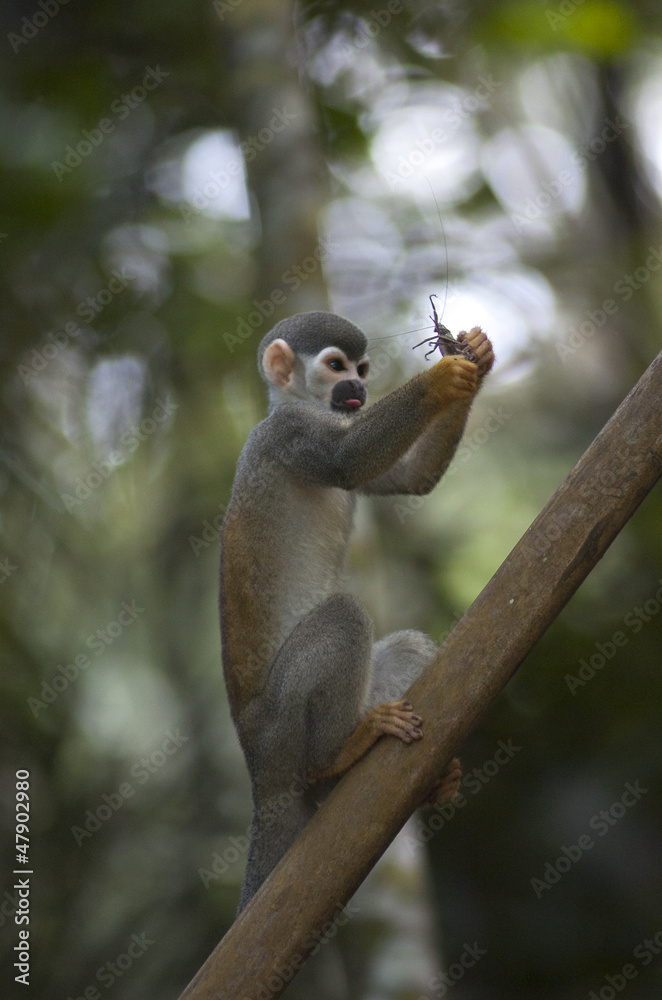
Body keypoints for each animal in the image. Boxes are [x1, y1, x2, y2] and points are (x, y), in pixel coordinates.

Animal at [220, 310, 496, 908]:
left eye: (362, 369)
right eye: (335, 366)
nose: (358, 389)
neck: (300, 403)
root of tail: (256, 775)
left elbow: (409, 477)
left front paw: (475, 357)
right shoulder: (287, 433)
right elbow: (346, 461)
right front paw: (442, 378)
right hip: (279, 732)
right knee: (344, 616)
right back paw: (334, 758)